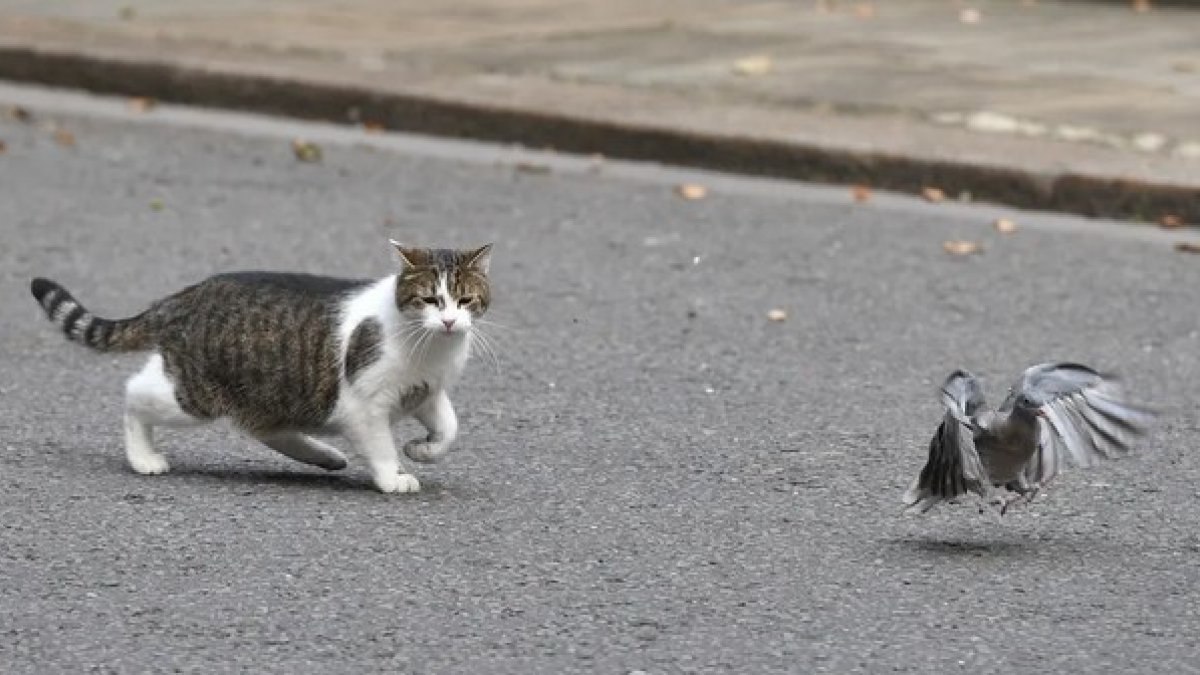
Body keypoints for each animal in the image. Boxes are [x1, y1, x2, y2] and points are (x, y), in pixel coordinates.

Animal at [30, 241, 494, 494]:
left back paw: (323, 455)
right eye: (430, 300)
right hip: (194, 394)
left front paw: (423, 449)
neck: (433, 349)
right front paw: (393, 476)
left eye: (465, 300)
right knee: (133, 393)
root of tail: (186, 295)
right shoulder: (366, 406)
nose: (449, 321)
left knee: (264, 427)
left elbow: (450, 428)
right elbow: (381, 447)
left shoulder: (427, 391)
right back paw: (143, 458)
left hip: (272, 390)